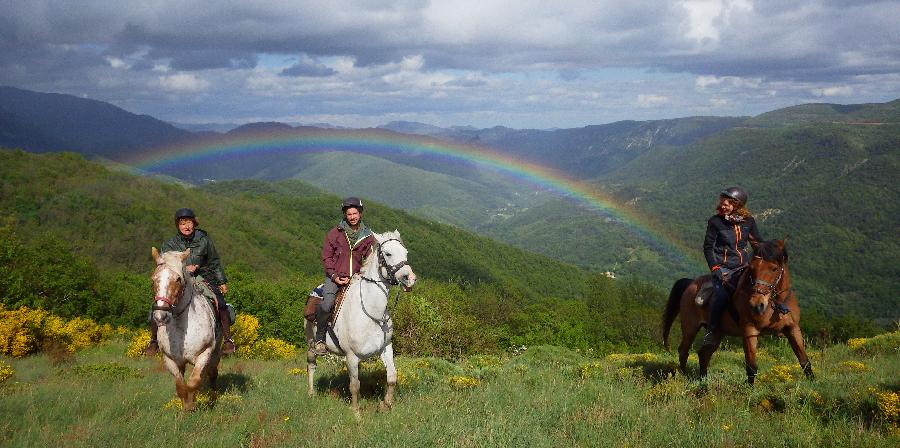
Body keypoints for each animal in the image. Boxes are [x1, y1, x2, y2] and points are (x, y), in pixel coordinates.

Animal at [150, 247, 222, 412]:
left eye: (178, 279)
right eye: (153, 279)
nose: (161, 316)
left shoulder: (204, 353)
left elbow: (194, 382)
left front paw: (192, 406)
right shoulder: (171, 360)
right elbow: (181, 387)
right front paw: (186, 409)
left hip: (215, 353)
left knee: (212, 373)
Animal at [302, 233, 414, 414]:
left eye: (405, 253)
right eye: (388, 253)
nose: (410, 279)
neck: (372, 312)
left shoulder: (385, 348)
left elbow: (392, 377)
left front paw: (385, 405)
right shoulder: (351, 356)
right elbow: (354, 385)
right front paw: (356, 413)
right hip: (311, 344)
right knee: (311, 366)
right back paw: (311, 394)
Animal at [660, 240, 816, 384]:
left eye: (774, 268)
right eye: (752, 268)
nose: (756, 304)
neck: (775, 304)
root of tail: (690, 283)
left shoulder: (793, 329)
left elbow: (804, 360)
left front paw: (813, 383)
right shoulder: (749, 330)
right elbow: (751, 365)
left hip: (717, 332)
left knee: (704, 354)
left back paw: (704, 381)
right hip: (690, 328)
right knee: (683, 351)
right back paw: (685, 377)